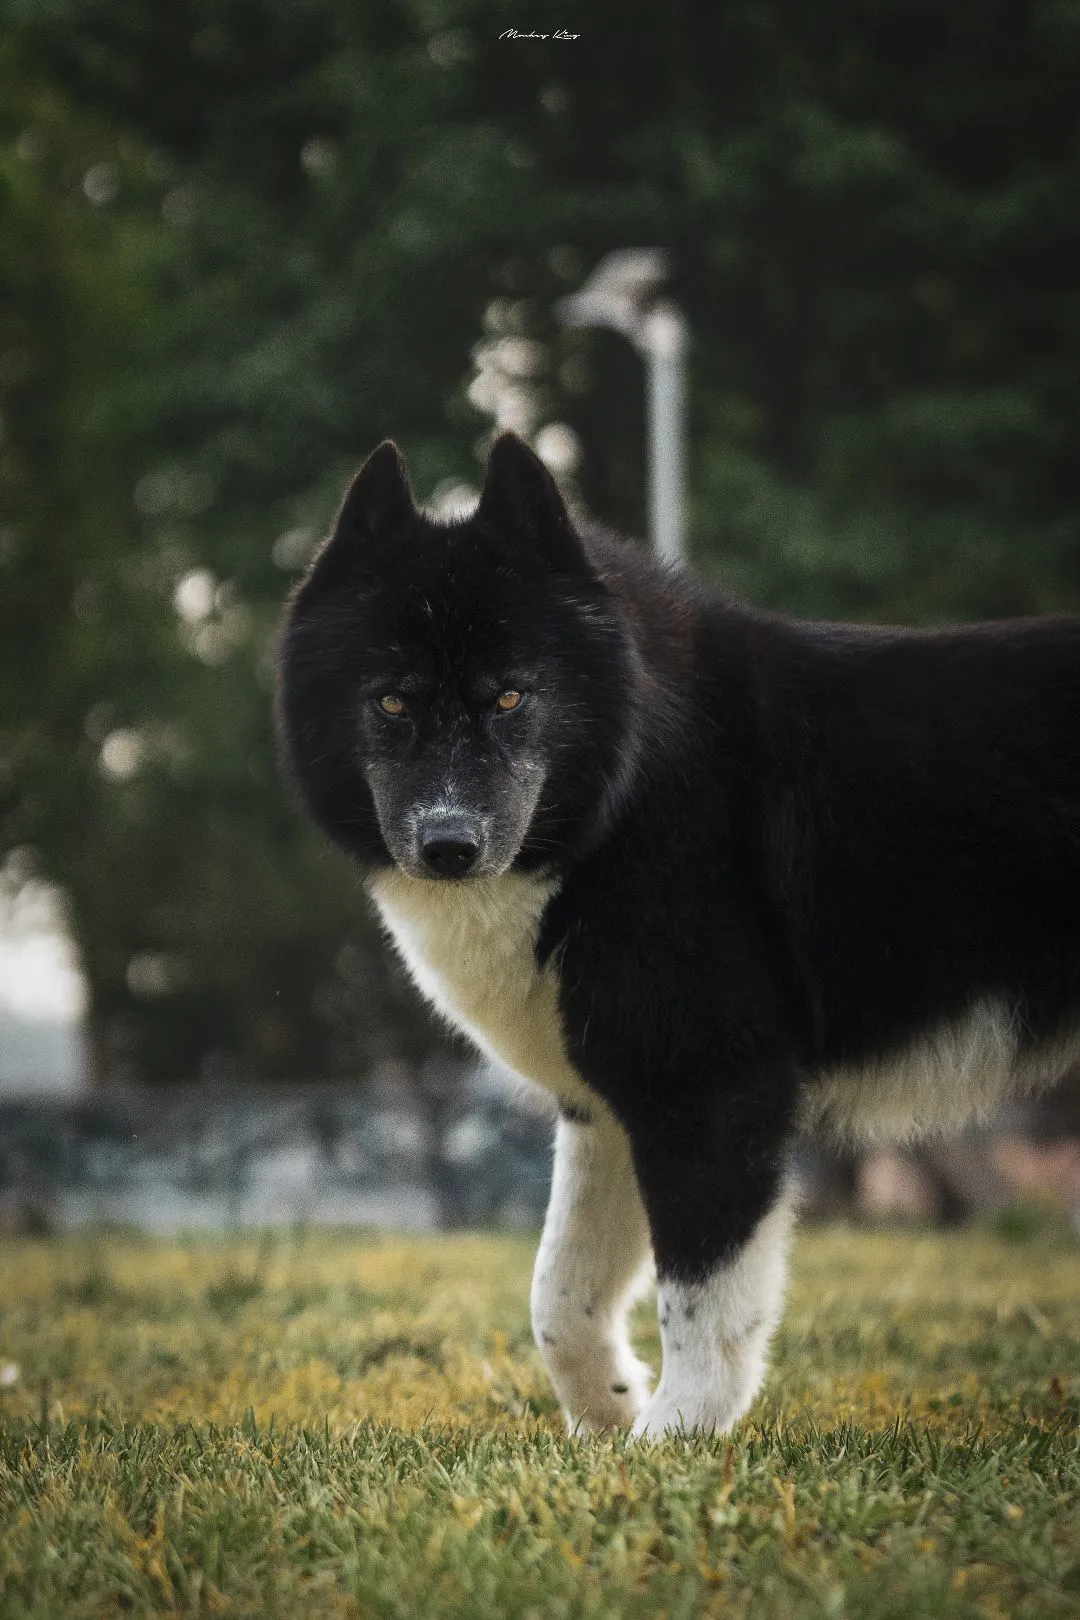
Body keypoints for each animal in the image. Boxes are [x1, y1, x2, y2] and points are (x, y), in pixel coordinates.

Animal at [276, 427, 1080, 1432]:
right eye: (391, 701)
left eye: (509, 699)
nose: (449, 845)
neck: (635, 784)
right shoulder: (608, 1102)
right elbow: (559, 1298)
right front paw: (609, 1420)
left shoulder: (708, 1085)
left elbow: (702, 1296)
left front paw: (677, 1443)